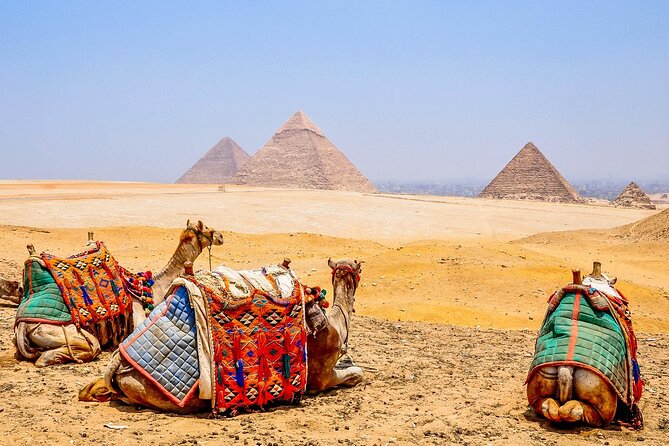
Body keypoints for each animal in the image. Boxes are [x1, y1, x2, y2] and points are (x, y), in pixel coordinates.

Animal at [14, 220, 224, 367]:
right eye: (206, 227)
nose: (220, 235)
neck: (152, 289)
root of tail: (22, 326)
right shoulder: (137, 312)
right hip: (55, 330)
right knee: (87, 347)